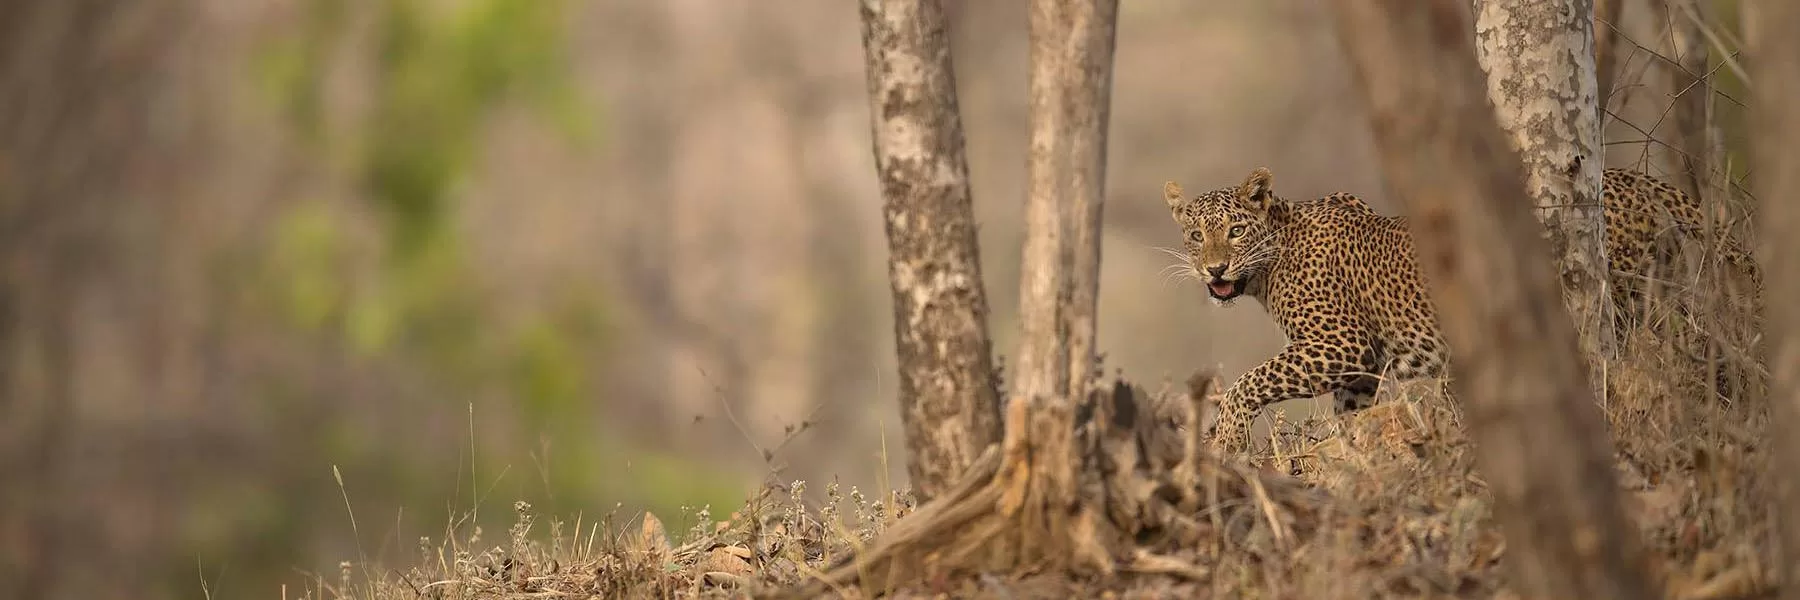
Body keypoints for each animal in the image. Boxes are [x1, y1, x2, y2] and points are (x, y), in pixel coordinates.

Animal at [1160, 165, 1762, 456]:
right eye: (1195, 236)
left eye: (1235, 231)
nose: (1214, 269)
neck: (1269, 266)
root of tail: (1638, 180)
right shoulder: (1358, 370)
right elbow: (1348, 415)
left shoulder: (1340, 343)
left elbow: (1250, 379)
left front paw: (1227, 438)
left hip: (1632, 300)